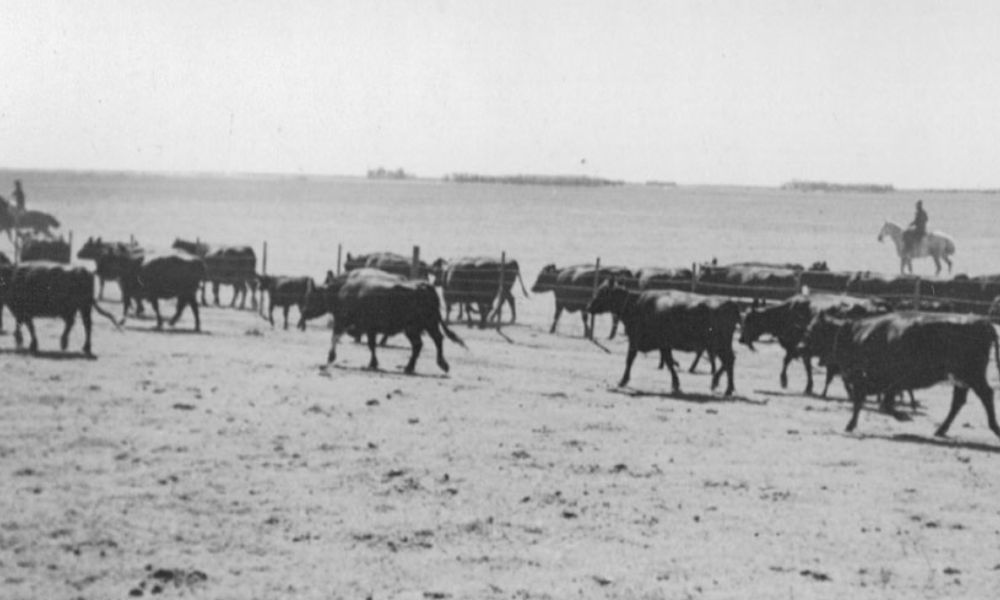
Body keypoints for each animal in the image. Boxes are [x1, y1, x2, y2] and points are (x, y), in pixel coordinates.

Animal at [302, 270, 462, 372]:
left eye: (311, 296)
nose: (304, 313)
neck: (343, 289)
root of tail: (423, 285)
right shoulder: (369, 329)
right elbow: (372, 345)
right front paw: (373, 363)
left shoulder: (342, 321)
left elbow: (335, 338)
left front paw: (330, 357)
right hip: (425, 326)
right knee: (429, 342)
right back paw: (417, 366)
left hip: (419, 327)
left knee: (429, 342)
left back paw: (429, 365)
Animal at [584, 280, 744, 394]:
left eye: (603, 292)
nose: (589, 307)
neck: (635, 303)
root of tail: (729, 302)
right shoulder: (664, 345)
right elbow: (669, 362)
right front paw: (676, 384)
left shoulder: (635, 341)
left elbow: (630, 360)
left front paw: (622, 381)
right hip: (720, 345)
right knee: (729, 361)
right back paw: (723, 385)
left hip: (719, 344)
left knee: (728, 360)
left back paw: (725, 387)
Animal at [736, 292, 892, 396]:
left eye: (749, 319)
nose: (741, 339)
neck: (789, 312)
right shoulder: (800, 348)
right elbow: (795, 363)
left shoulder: (800, 348)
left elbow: (797, 364)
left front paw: (788, 382)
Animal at [800, 312, 1000, 438]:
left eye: (812, 329)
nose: (800, 347)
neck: (856, 333)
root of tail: (984, 322)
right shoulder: (886, 383)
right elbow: (878, 403)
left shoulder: (870, 379)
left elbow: (871, 402)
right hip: (962, 378)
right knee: (959, 401)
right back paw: (940, 430)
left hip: (972, 375)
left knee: (985, 395)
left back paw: (994, 427)